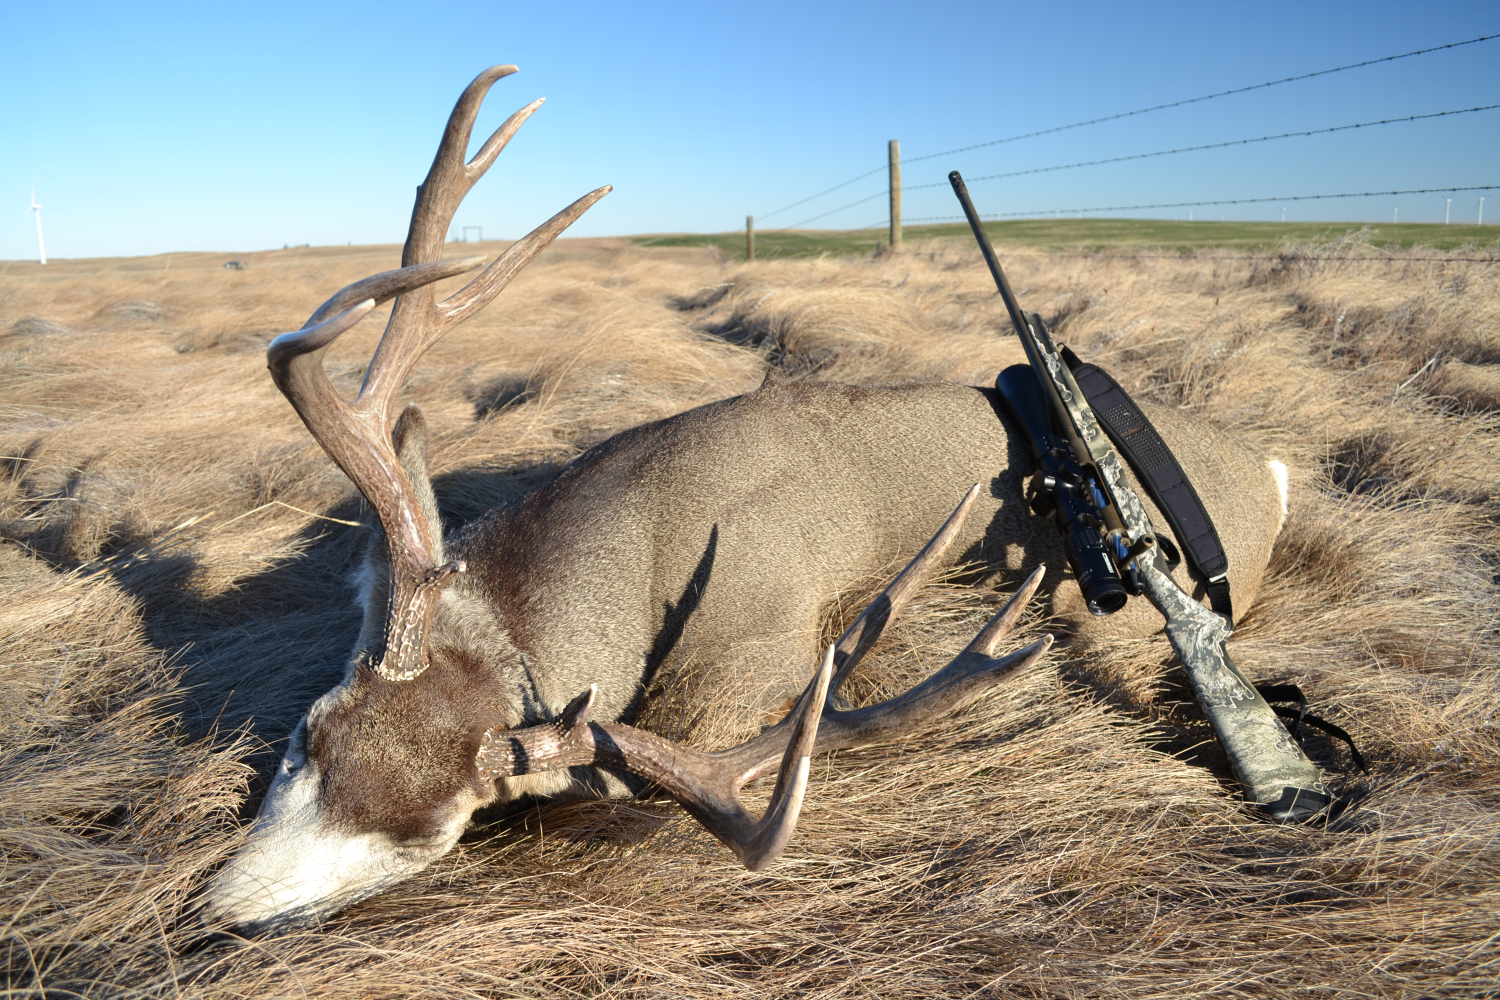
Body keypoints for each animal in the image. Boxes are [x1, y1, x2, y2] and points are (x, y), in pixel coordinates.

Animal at [201, 66, 1291, 933]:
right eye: (307, 737)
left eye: (435, 837)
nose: (224, 908)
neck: (645, 533)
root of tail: (1271, 475)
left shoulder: (751, 658)